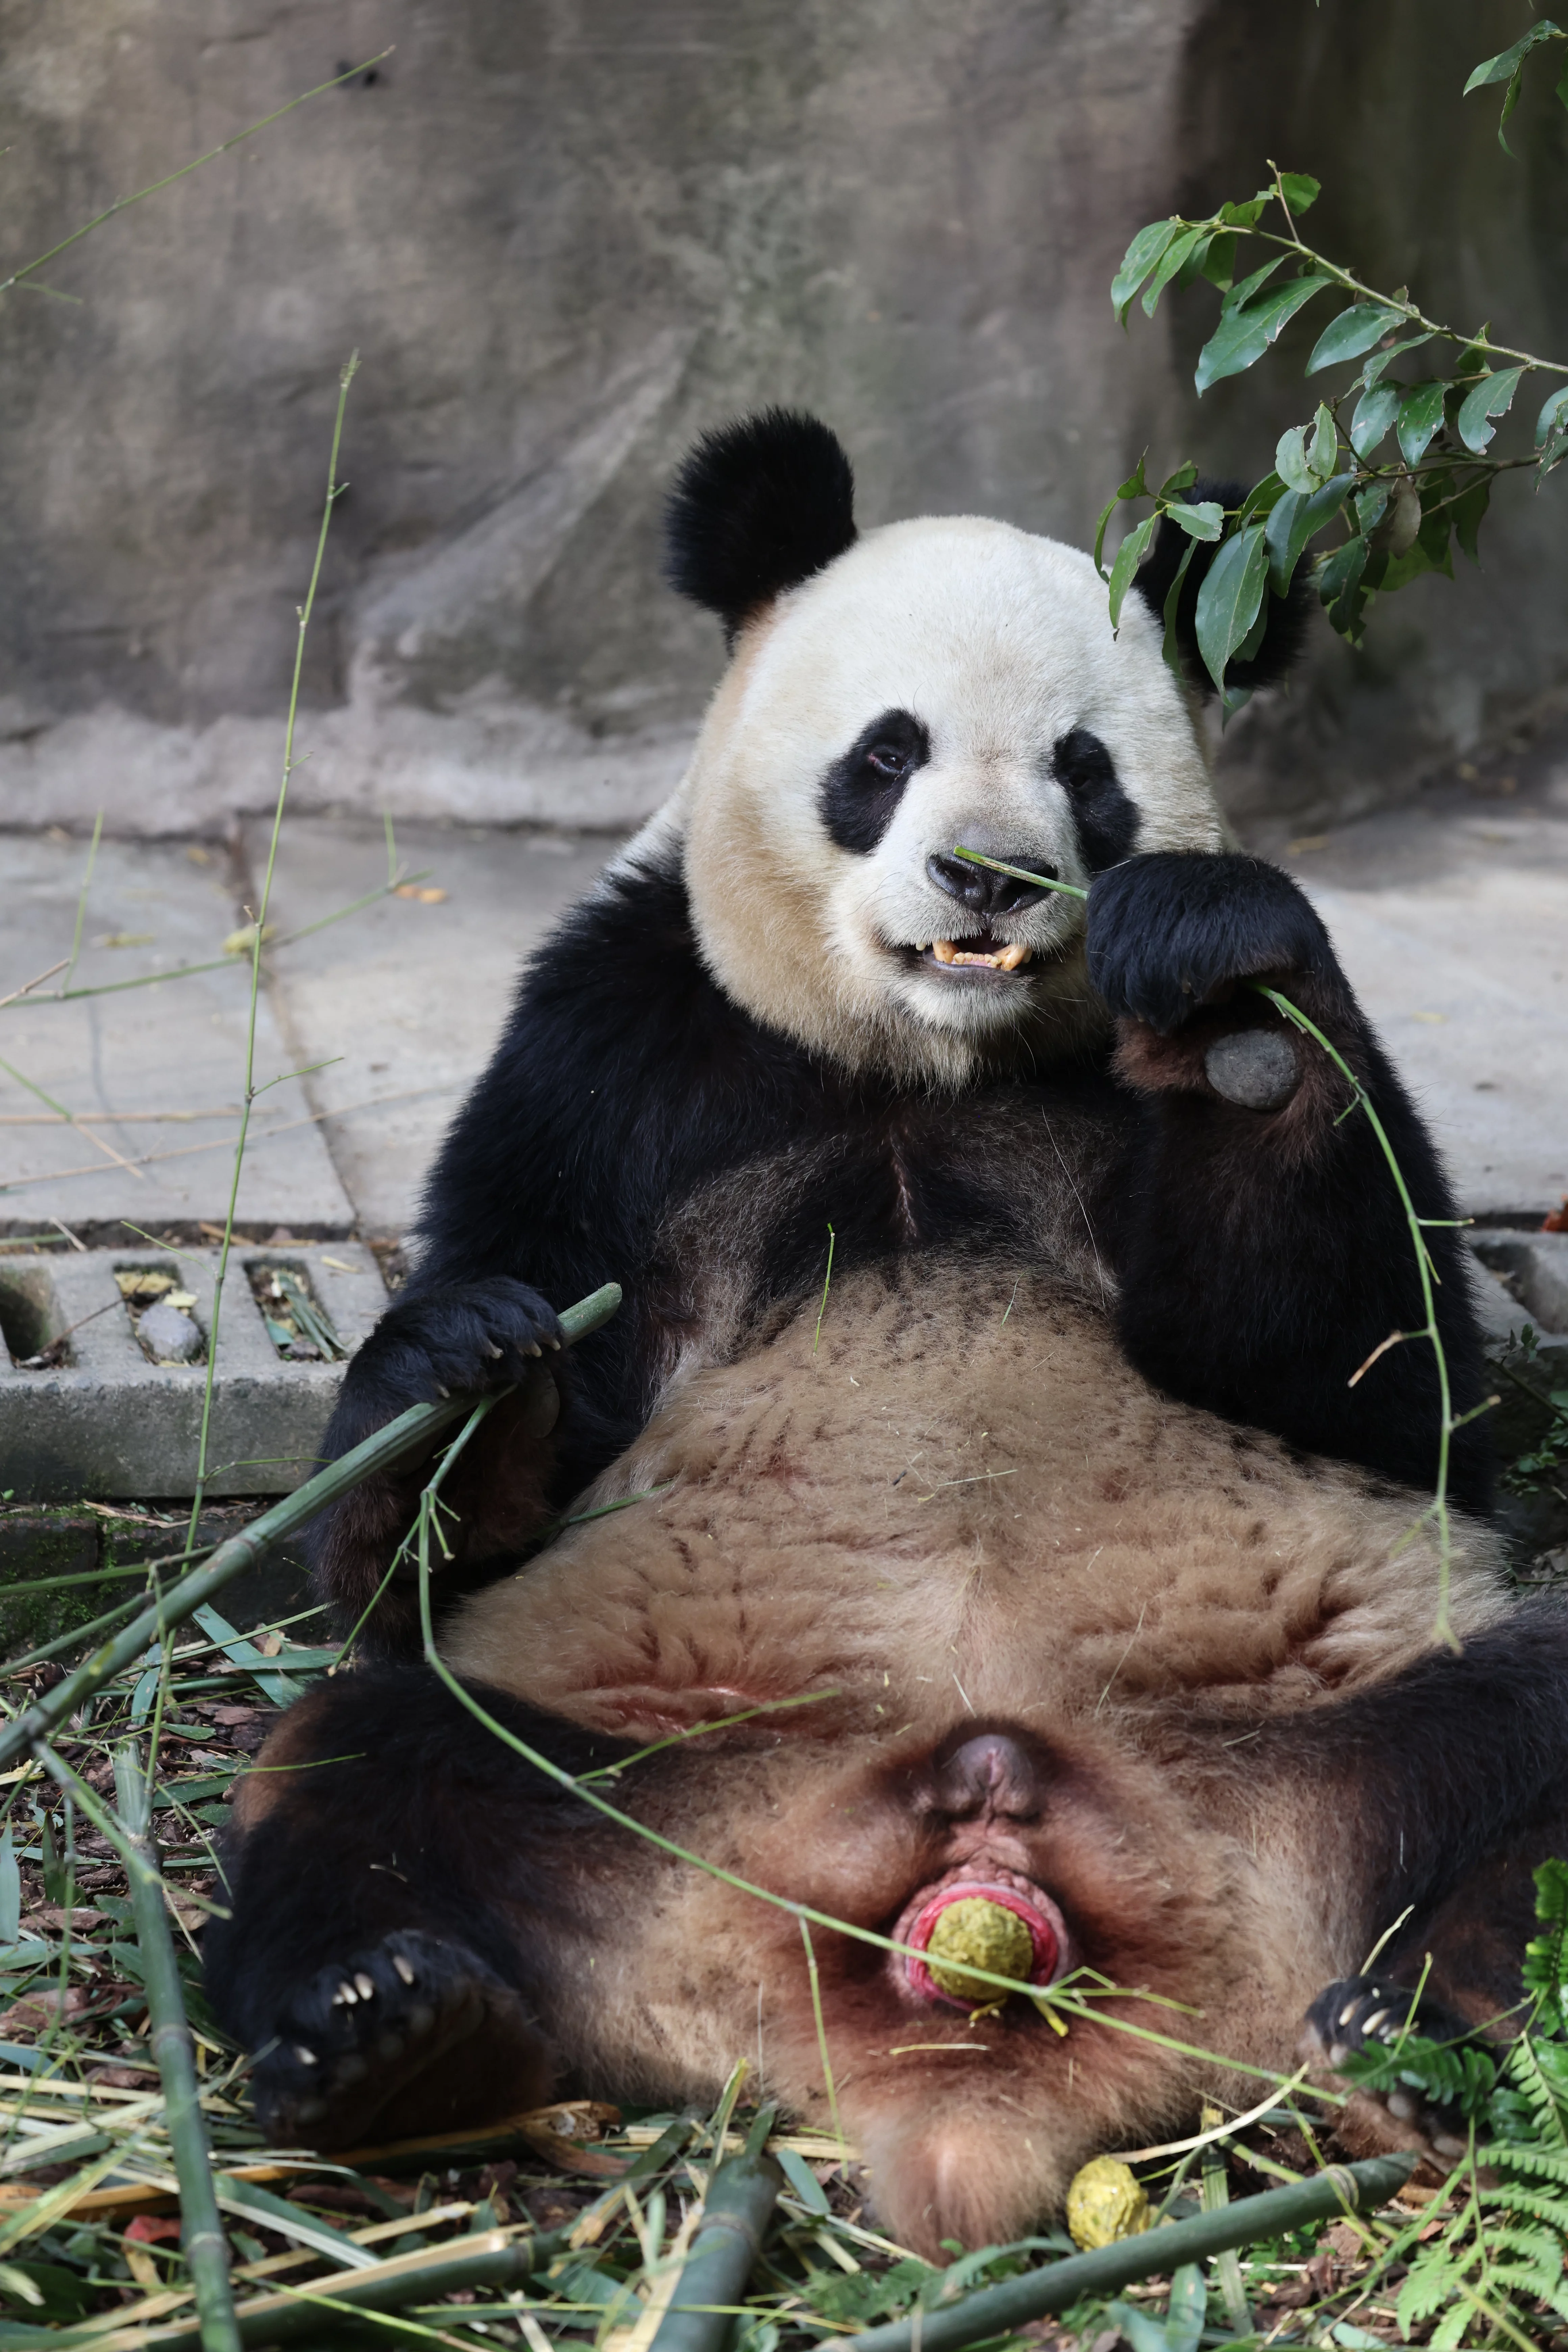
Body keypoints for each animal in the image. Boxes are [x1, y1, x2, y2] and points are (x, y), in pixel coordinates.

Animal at [203, 412, 1568, 2258]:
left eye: (1083, 768)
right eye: (886, 752)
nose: (986, 873)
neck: (935, 1060)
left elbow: (1380, 1386)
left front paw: (1219, 1002)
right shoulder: (620, 1055)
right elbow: (433, 1543)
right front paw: (464, 1369)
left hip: (1316, 1756)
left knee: (1533, 1724)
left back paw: (1450, 2016)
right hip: (665, 1796)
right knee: (353, 1771)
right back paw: (394, 2040)